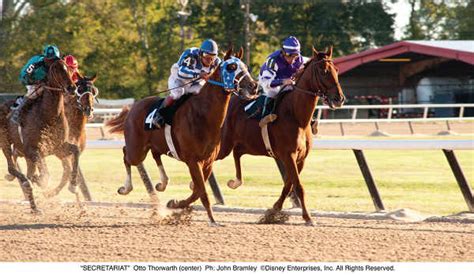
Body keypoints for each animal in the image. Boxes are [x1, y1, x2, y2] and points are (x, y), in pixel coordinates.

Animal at [4, 59, 78, 212]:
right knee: (12, 168)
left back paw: (34, 207)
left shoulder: (58, 147)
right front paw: (39, 181)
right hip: (5, 143)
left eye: (69, 70)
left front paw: (73, 185)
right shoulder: (34, 150)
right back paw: (27, 184)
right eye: (56, 70)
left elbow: (76, 151)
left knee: (25, 171)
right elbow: (45, 175)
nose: (72, 88)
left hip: (27, 155)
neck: (48, 115)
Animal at [106, 47, 258, 224]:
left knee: (155, 154)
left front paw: (176, 204)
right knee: (126, 155)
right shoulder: (193, 160)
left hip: (155, 144)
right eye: (231, 67)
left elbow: (198, 190)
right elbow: (201, 191)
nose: (254, 86)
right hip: (137, 149)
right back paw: (125, 188)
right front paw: (211, 220)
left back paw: (162, 183)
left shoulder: (208, 161)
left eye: (245, 66)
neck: (203, 115)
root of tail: (133, 107)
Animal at [218, 47, 344, 224]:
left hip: (244, 144)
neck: (296, 116)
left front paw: (273, 211)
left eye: (337, 70)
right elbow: (298, 186)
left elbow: (289, 185)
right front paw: (308, 217)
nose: (339, 99)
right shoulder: (288, 155)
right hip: (223, 145)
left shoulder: (300, 158)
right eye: (323, 71)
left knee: (236, 154)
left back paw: (235, 182)